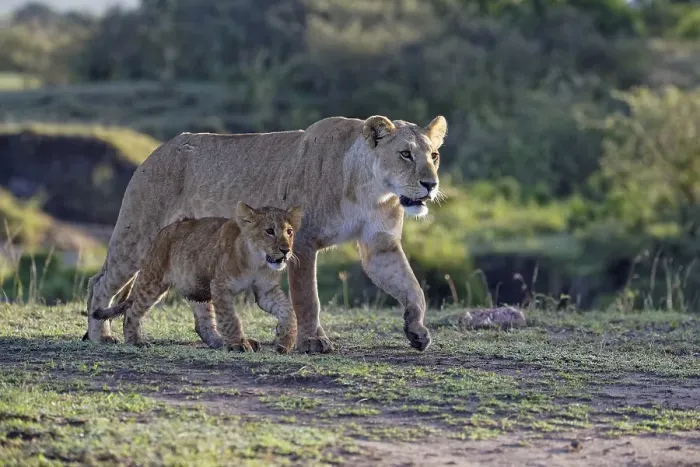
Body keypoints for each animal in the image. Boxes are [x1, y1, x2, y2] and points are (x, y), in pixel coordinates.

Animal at [90, 202, 302, 353]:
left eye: (289, 232)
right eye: (269, 231)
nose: (285, 250)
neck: (257, 262)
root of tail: (164, 230)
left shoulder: (266, 290)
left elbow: (287, 310)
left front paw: (285, 340)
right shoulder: (220, 286)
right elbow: (230, 318)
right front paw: (238, 344)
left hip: (198, 288)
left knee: (204, 323)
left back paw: (220, 342)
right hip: (153, 280)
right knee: (132, 310)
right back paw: (135, 341)